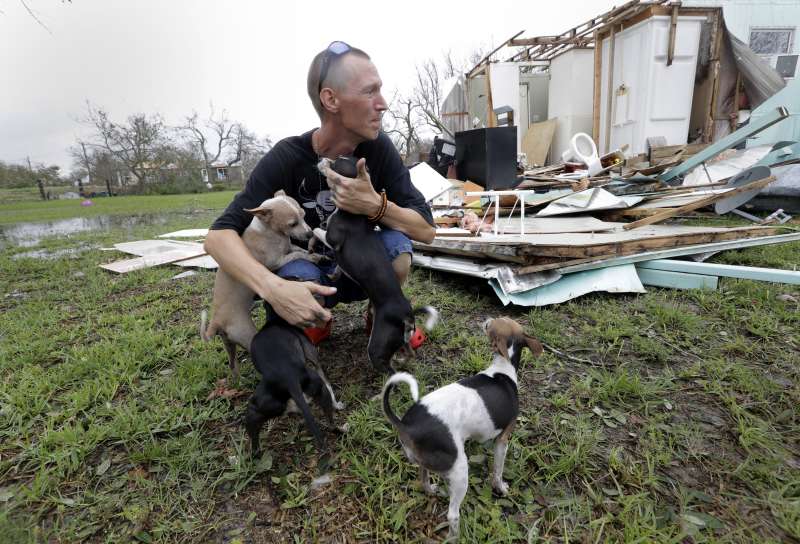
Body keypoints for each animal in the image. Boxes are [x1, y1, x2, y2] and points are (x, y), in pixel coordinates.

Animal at [200, 193, 322, 380]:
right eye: (292, 224)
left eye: (303, 215)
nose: (309, 233)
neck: (271, 232)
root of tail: (216, 321)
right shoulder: (277, 261)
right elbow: (297, 255)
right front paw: (313, 257)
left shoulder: (288, 246)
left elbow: (297, 250)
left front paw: (315, 253)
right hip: (247, 336)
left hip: (228, 344)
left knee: (232, 364)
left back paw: (239, 380)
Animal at [248, 318, 340, 460]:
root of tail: (289, 377)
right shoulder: (311, 352)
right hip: (317, 388)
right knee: (328, 420)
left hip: (264, 404)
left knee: (253, 416)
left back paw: (255, 451)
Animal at [382, 316, 544, 536]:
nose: (487, 318)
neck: (502, 367)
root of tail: (407, 425)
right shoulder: (502, 440)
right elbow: (498, 470)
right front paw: (500, 487)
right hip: (459, 471)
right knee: (453, 514)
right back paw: (456, 535)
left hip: (428, 463)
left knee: (424, 480)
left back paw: (432, 490)